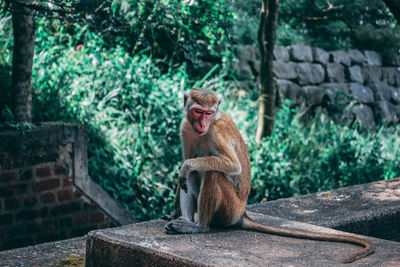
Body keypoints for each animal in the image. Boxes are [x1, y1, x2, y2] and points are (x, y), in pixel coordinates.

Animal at [163, 88, 376, 264]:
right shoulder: (185, 128)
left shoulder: (216, 131)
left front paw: (187, 166)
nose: (202, 124)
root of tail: (242, 214)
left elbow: (229, 165)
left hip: (229, 209)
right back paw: (186, 221)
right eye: (198, 111)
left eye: (208, 113)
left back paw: (199, 226)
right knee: (191, 176)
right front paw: (174, 212)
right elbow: (186, 162)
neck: (207, 127)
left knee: (211, 173)